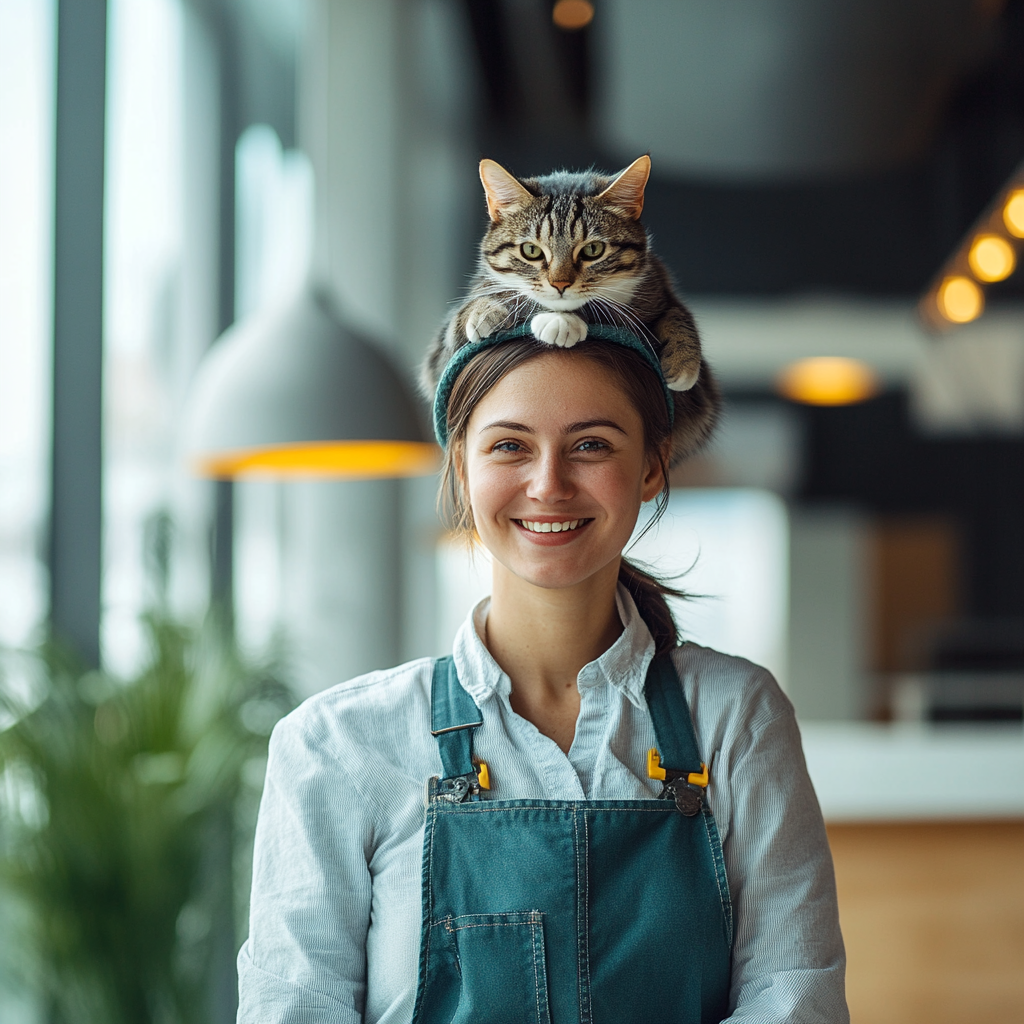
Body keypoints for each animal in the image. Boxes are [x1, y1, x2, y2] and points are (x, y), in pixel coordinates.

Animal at [419, 156, 716, 460]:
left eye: (593, 250)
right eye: (531, 251)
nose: (560, 284)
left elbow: (675, 314)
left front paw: (683, 360)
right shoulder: (439, 363)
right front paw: (490, 312)